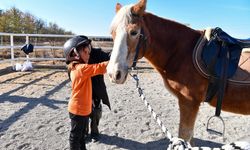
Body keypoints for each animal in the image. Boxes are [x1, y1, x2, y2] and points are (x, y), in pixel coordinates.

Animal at [107, 0, 250, 145]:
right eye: (112, 32)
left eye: (134, 32)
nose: (114, 74)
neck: (182, 52)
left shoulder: (189, 102)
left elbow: (184, 135)